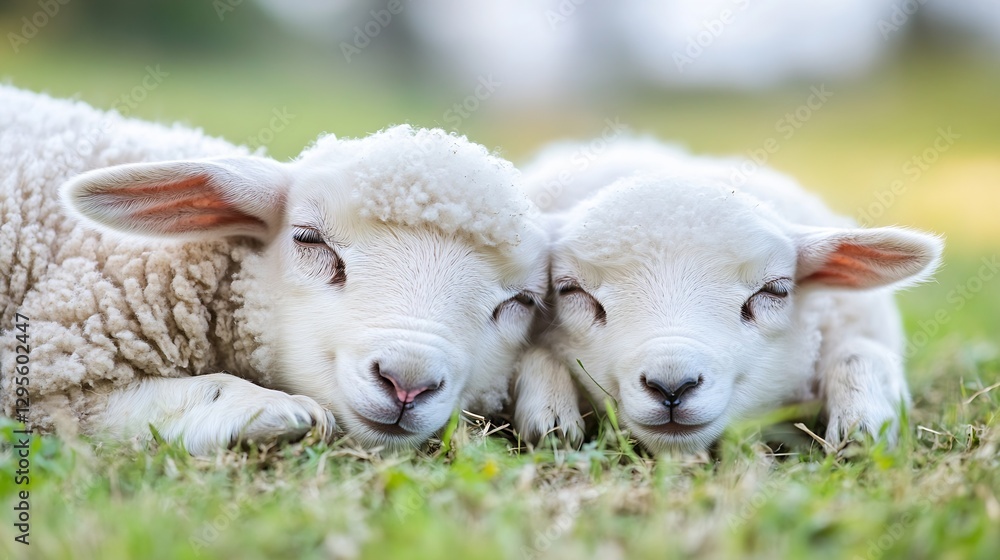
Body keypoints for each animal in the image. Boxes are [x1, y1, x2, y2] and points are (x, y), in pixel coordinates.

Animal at [0, 86, 549, 455]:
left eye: (520, 302)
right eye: (308, 239)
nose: (406, 383)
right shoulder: (41, 373)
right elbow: (95, 413)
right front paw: (261, 408)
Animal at [513, 138, 942, 452]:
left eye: (775, 290)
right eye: (571, 290)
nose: (672, 387)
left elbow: (861, 351)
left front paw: (862, 423)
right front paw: (550, 413)